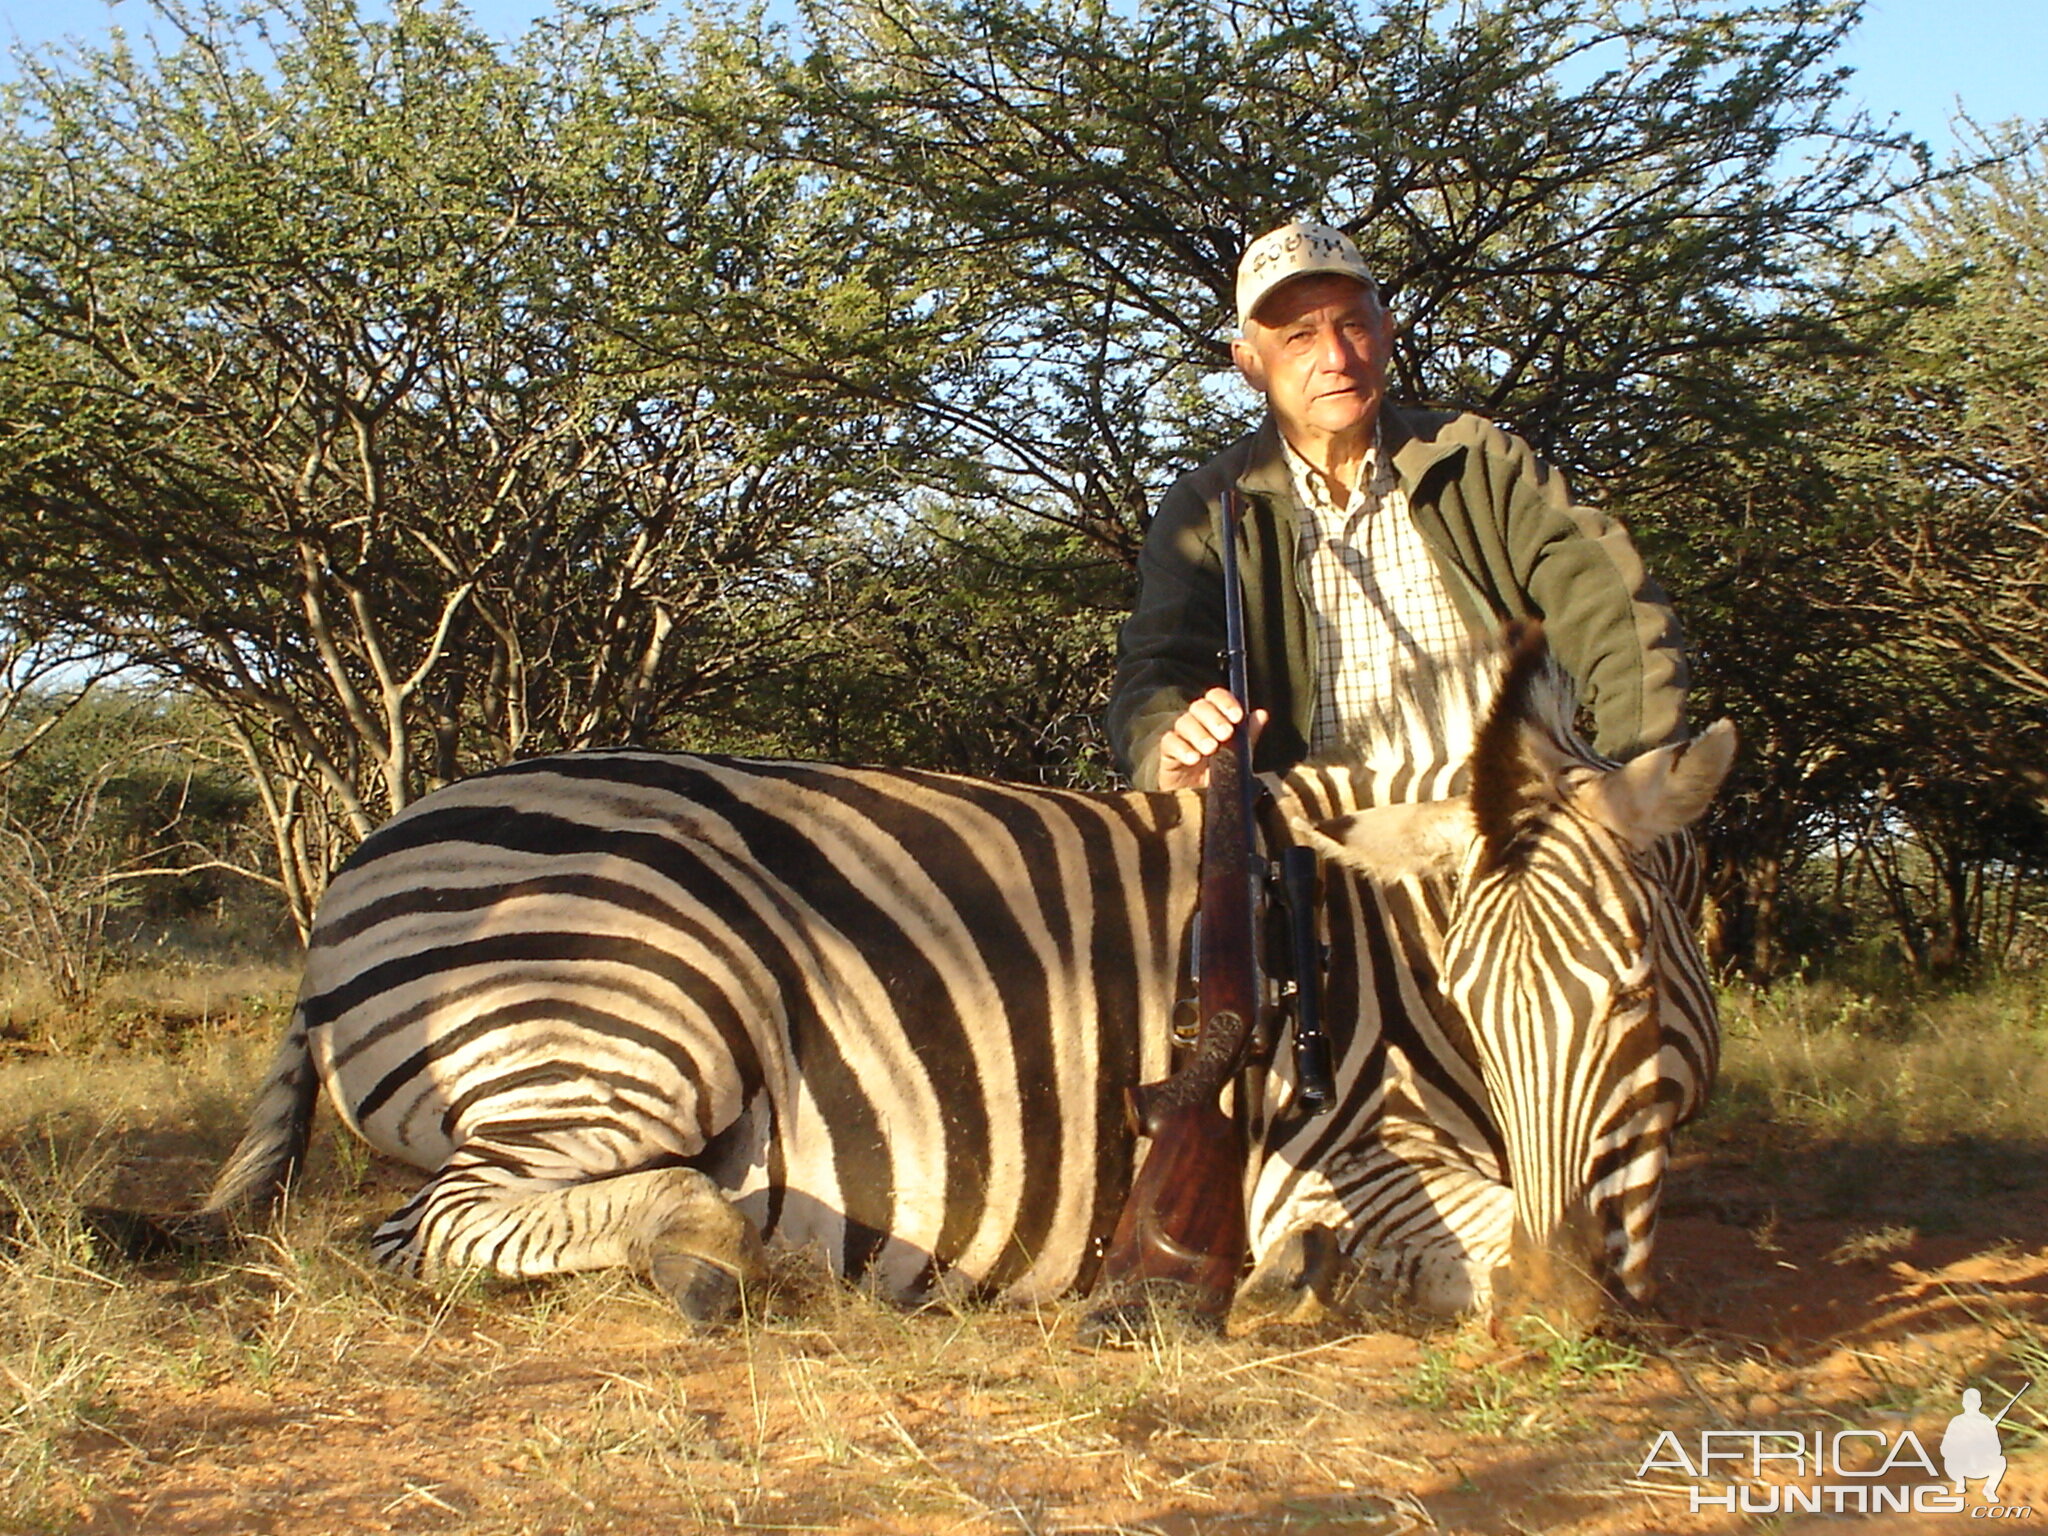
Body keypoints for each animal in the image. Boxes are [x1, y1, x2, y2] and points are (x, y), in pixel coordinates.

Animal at [192, 630, 1736, 1327]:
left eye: (1633, 996)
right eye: (1467, 999)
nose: (1567, 1306)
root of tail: (362, 857)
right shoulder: (1330, 1146)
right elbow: (1463, 1222)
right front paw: (1317, 1278)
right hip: (631, 1024)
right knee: (431, 1231)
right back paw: (708, 1251)